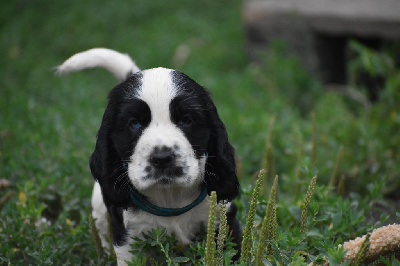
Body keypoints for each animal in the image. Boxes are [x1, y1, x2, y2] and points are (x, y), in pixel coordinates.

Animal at [57, 48, 241, 264]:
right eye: (134, 124)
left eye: (186, 120)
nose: (162, 157)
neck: (170, 197)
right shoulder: (128, 234)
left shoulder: (223, 219)